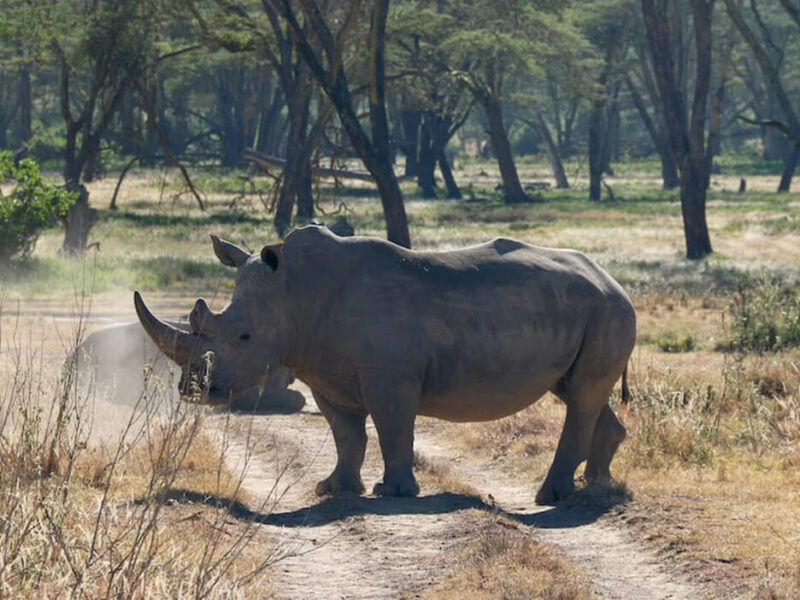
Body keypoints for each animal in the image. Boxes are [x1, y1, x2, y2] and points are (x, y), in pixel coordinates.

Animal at [133, 226, 636, 504]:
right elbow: (346, 435)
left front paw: (393, 493)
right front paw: (334, 489)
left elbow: (393, 429)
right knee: (579, 391)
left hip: (607, 309)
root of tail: (612, 278)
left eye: (243, 338)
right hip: (583, 310)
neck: (294, 292)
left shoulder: (389, 375)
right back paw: (598, 488)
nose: (193, 391)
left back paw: (552, 496)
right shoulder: (325, 373)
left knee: (583, 394)